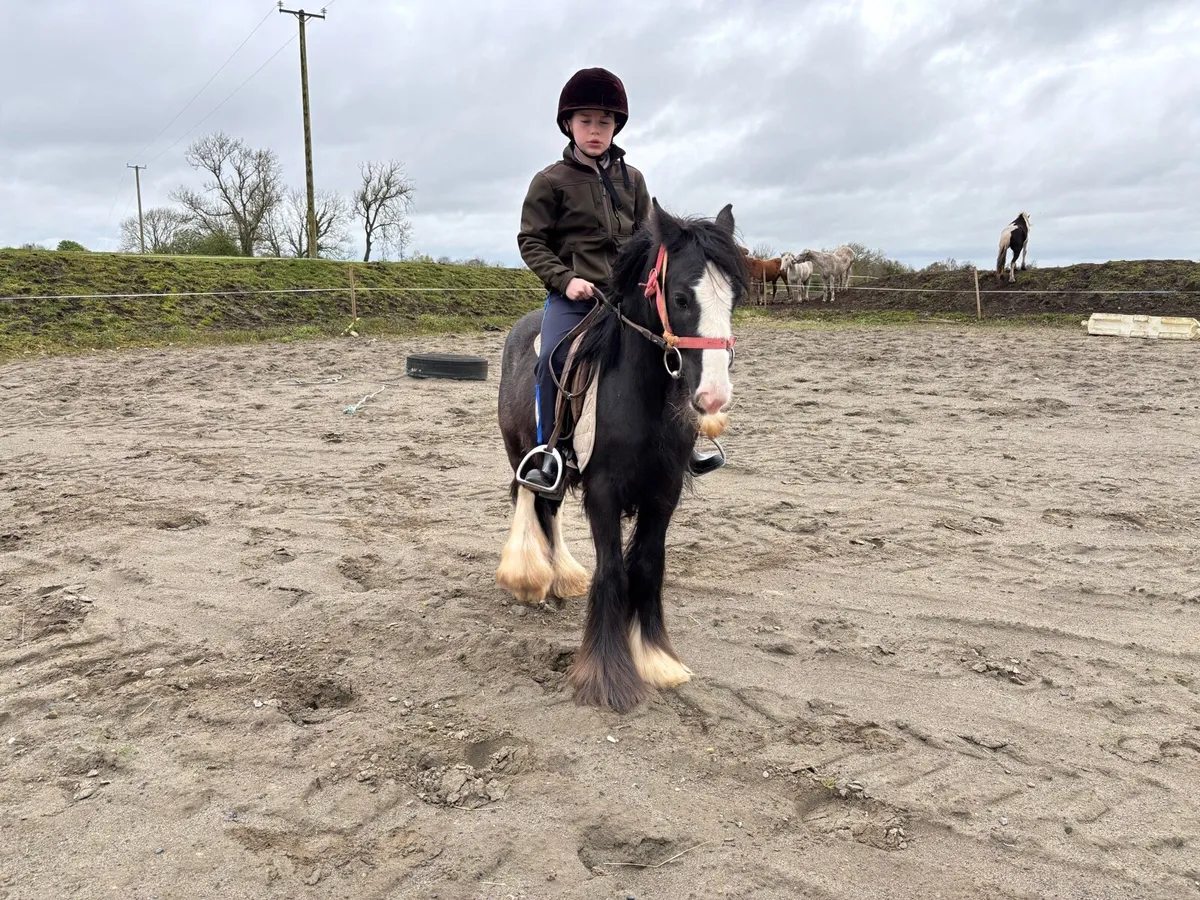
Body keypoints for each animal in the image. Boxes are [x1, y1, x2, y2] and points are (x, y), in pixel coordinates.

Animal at [496, 200, 747, 713]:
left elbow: (647, 569)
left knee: (549, 507)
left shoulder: (664, 494)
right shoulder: (604, 492)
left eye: (732, 299)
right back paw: (530, 577)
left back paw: (561, 577)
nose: (713, 397)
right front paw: (608, 676)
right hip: (520, 450)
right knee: (530, 499)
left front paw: (656, 660)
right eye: (681, 298)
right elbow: (612, 571)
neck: (641, 397)